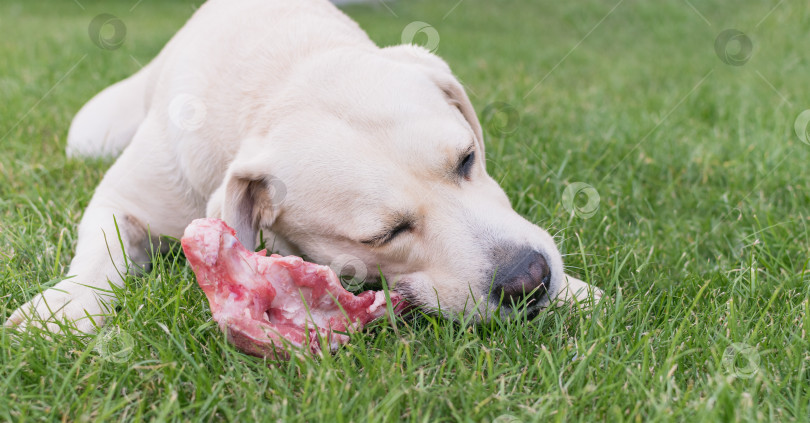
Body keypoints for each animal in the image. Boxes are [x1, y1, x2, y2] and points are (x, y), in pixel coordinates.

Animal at [6, 0, 600, 334]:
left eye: (468, 159)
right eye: (384, 235)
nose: (531, 279)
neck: (280, 73)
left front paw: (576, 292)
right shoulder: (122, 198)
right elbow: (101, 250)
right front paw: (65, 308)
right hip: (91, 130)